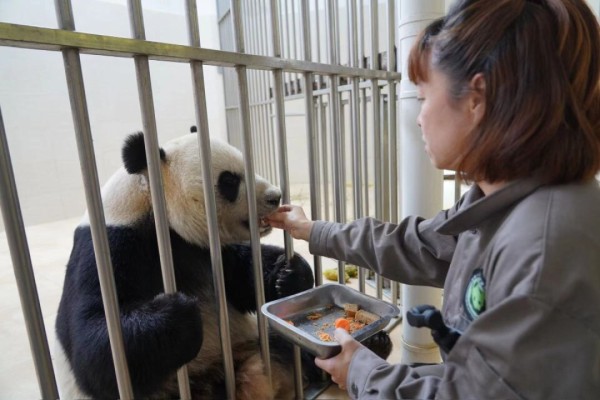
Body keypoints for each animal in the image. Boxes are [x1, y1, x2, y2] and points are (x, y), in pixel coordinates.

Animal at [53, 133, 322, 398]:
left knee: (281, 341)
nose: (275, 196)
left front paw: (289, 274)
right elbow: (94, 344)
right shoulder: (110, 249)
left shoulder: (202, 250)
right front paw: (180, 313)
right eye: (229, 180)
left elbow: (241, 275)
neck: (151, 206)